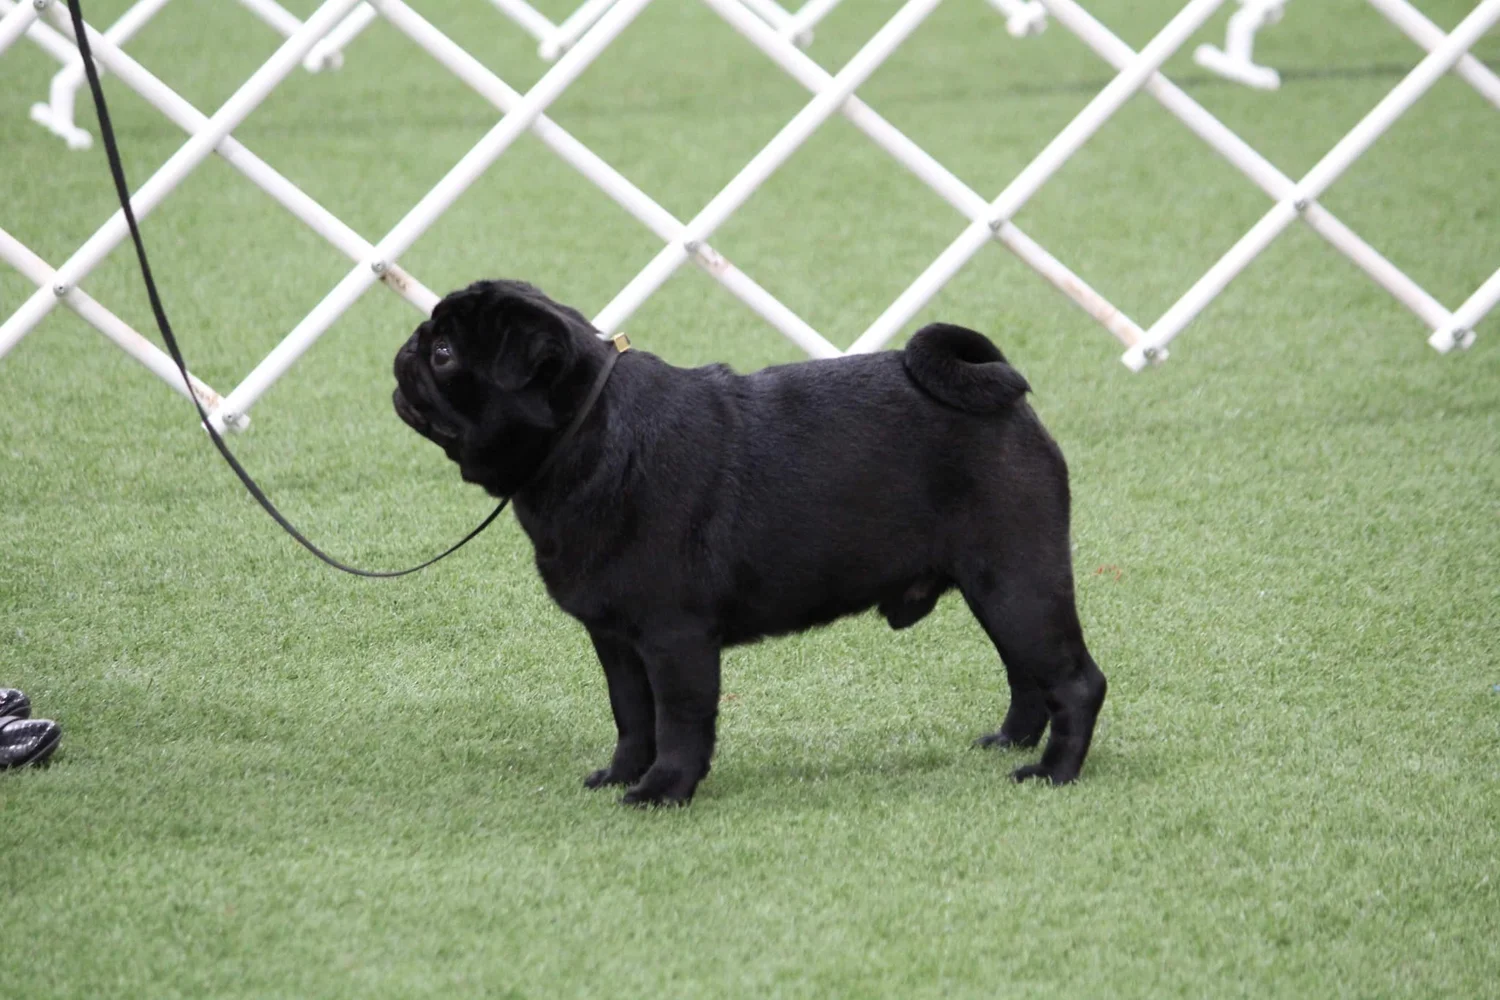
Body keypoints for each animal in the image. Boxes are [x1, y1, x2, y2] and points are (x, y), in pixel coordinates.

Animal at [393, 279, 1107, 806]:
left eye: (445, 354)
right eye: (430, 344)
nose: (407, 348)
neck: (586, 434)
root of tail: (1005, 398)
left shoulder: (674, 637)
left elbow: (678, 720)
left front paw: (663, 791)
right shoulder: (616, 639)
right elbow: (632, 715)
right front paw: (623, 774)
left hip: (1018, 583)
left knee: (1075, 682)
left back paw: (1053, 773)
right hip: (997, 591)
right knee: (1025, 674)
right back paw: (1013, 741)